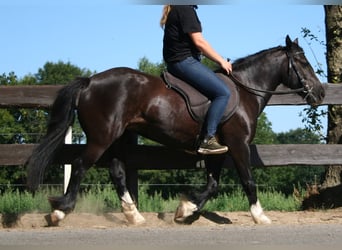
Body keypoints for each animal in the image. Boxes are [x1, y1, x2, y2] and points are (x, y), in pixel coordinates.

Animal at [26, 36, 324, 225]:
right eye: (304, 63)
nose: (320, 93)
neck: (244, 91)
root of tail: (89, 82)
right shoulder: (238, 144)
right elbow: (248, 180)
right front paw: (260, 216)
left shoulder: (217, 149)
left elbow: (212, 185)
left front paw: (185, 210)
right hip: (101, 137)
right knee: (79, 165)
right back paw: (60, 213)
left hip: (117, 138)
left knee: (117, 172)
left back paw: (134, 216)